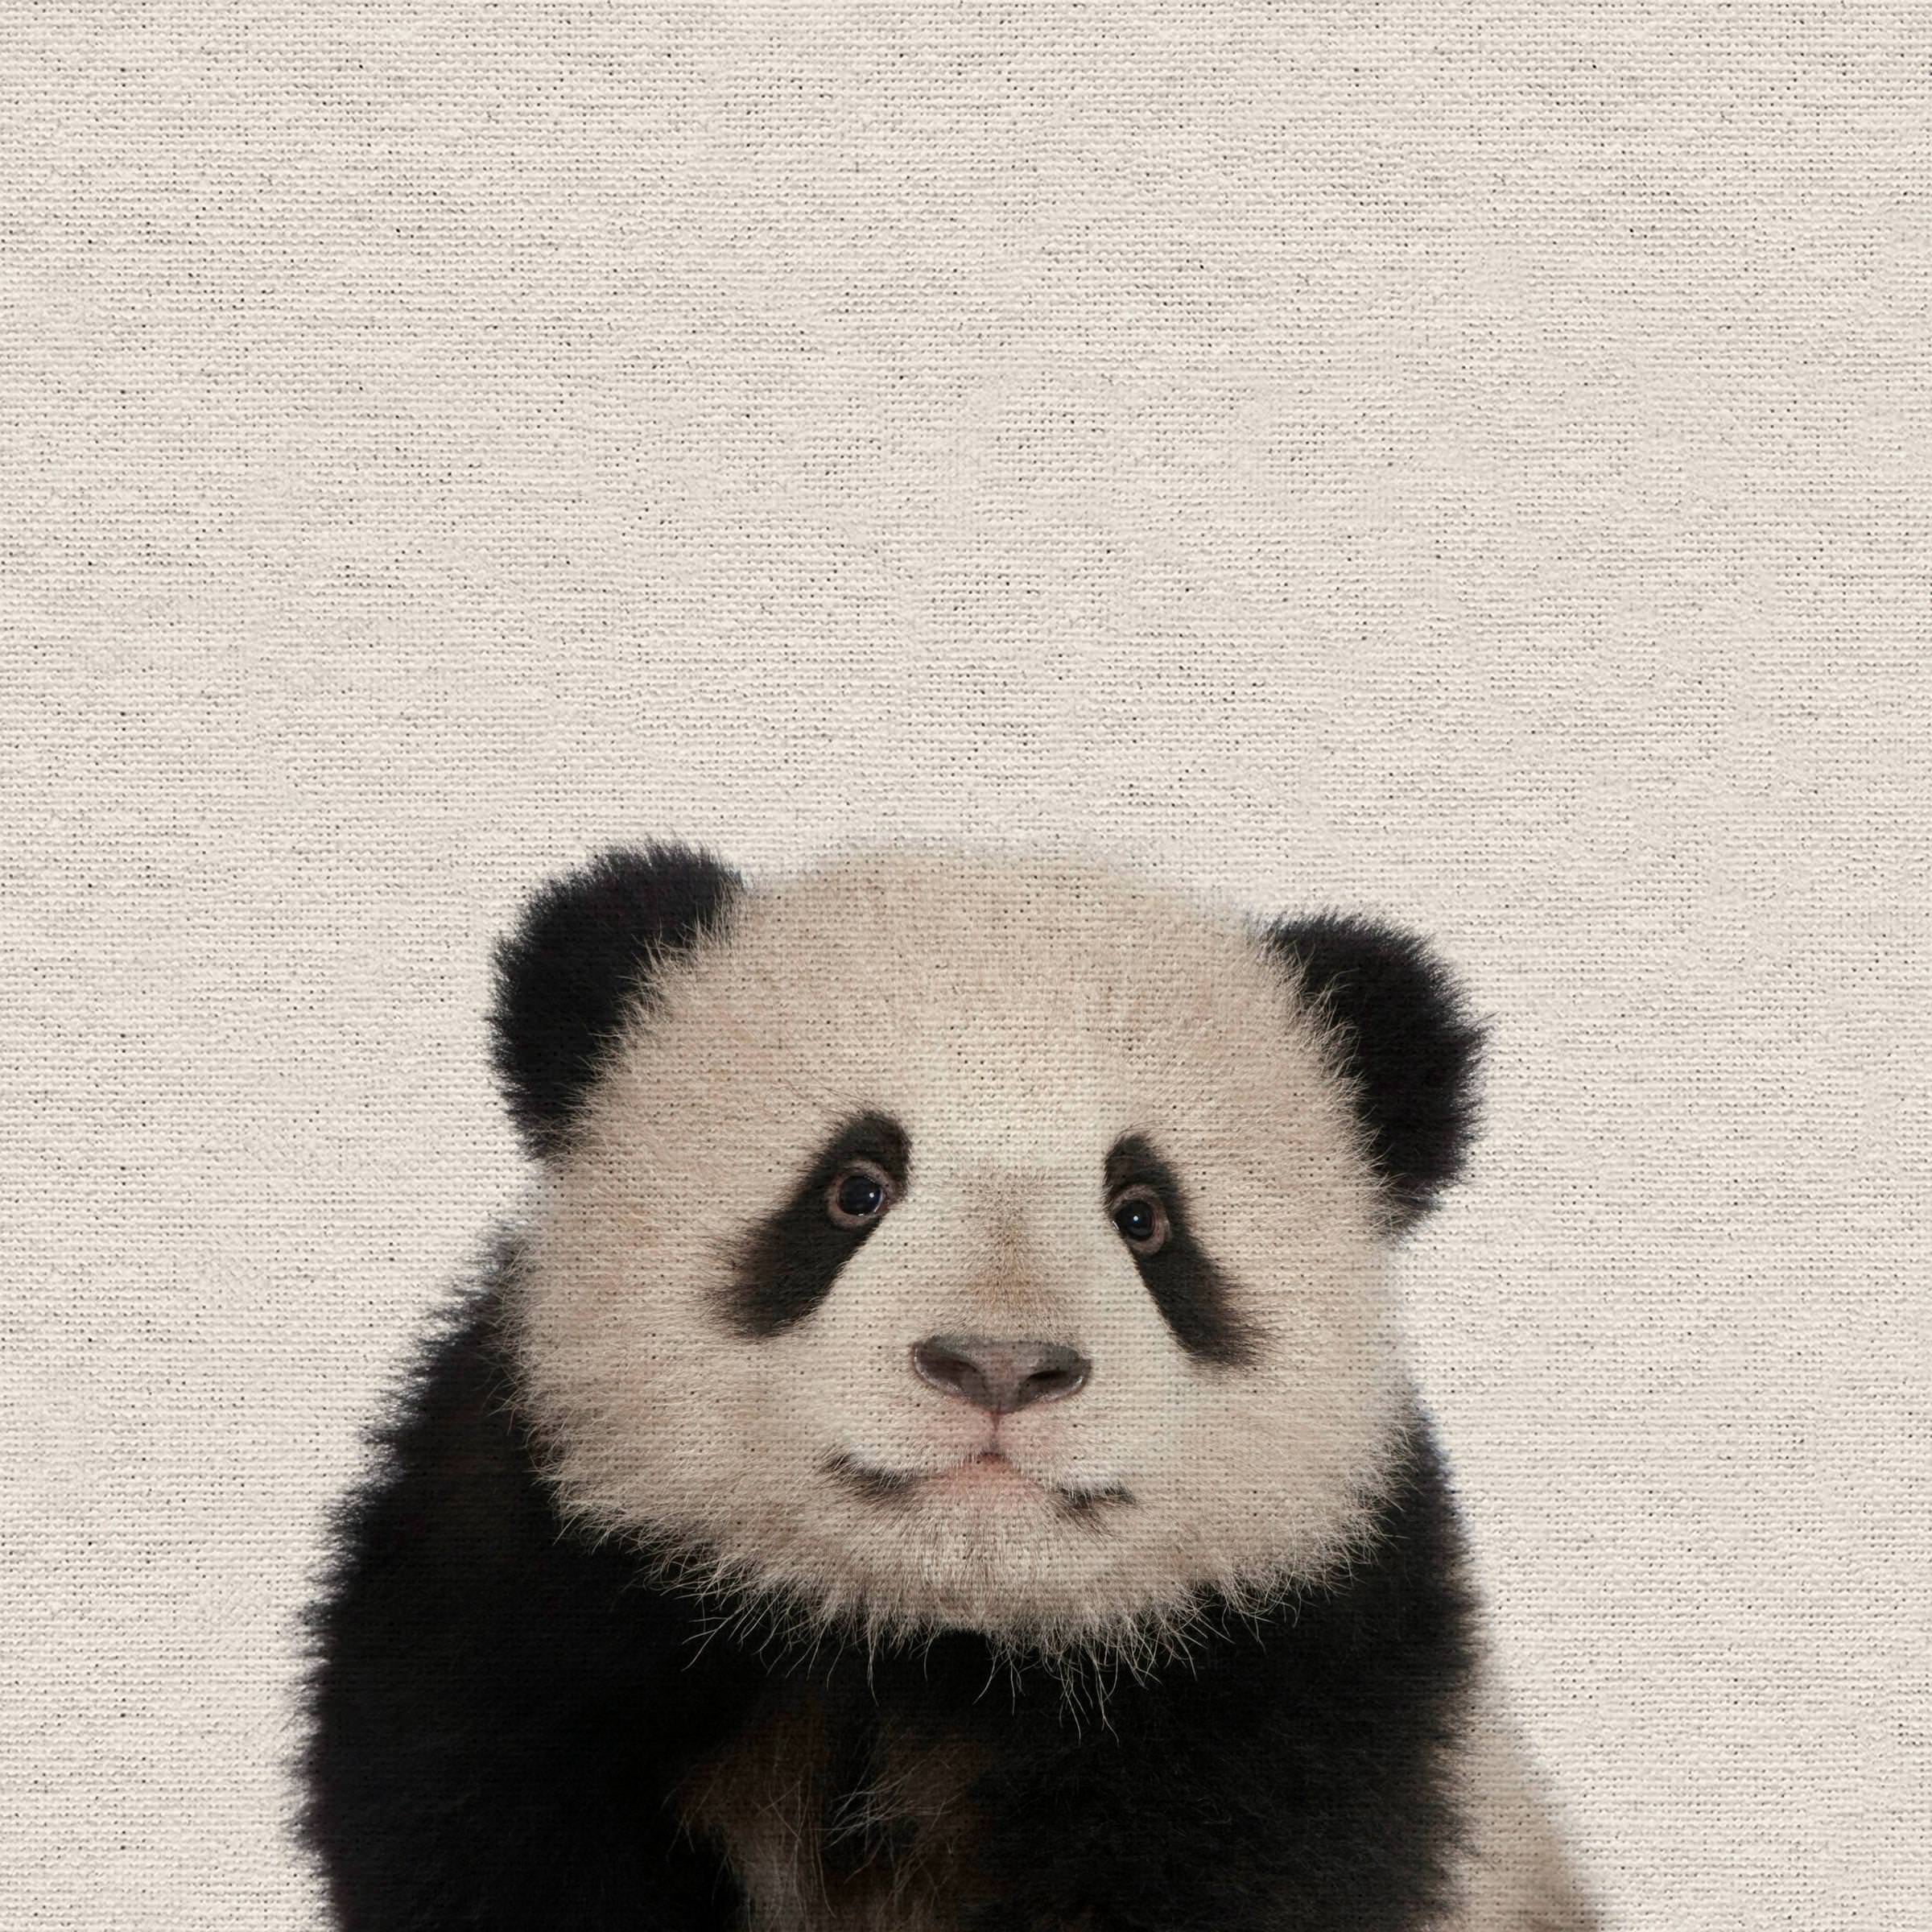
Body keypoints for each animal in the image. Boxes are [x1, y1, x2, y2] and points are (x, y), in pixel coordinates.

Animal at [300, 840, 1597, 1932]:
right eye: (853, 1189)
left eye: (1146, 1217)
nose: (999, 1366)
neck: (926, 1646)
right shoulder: (533, 1582)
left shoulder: (1285, 1668)